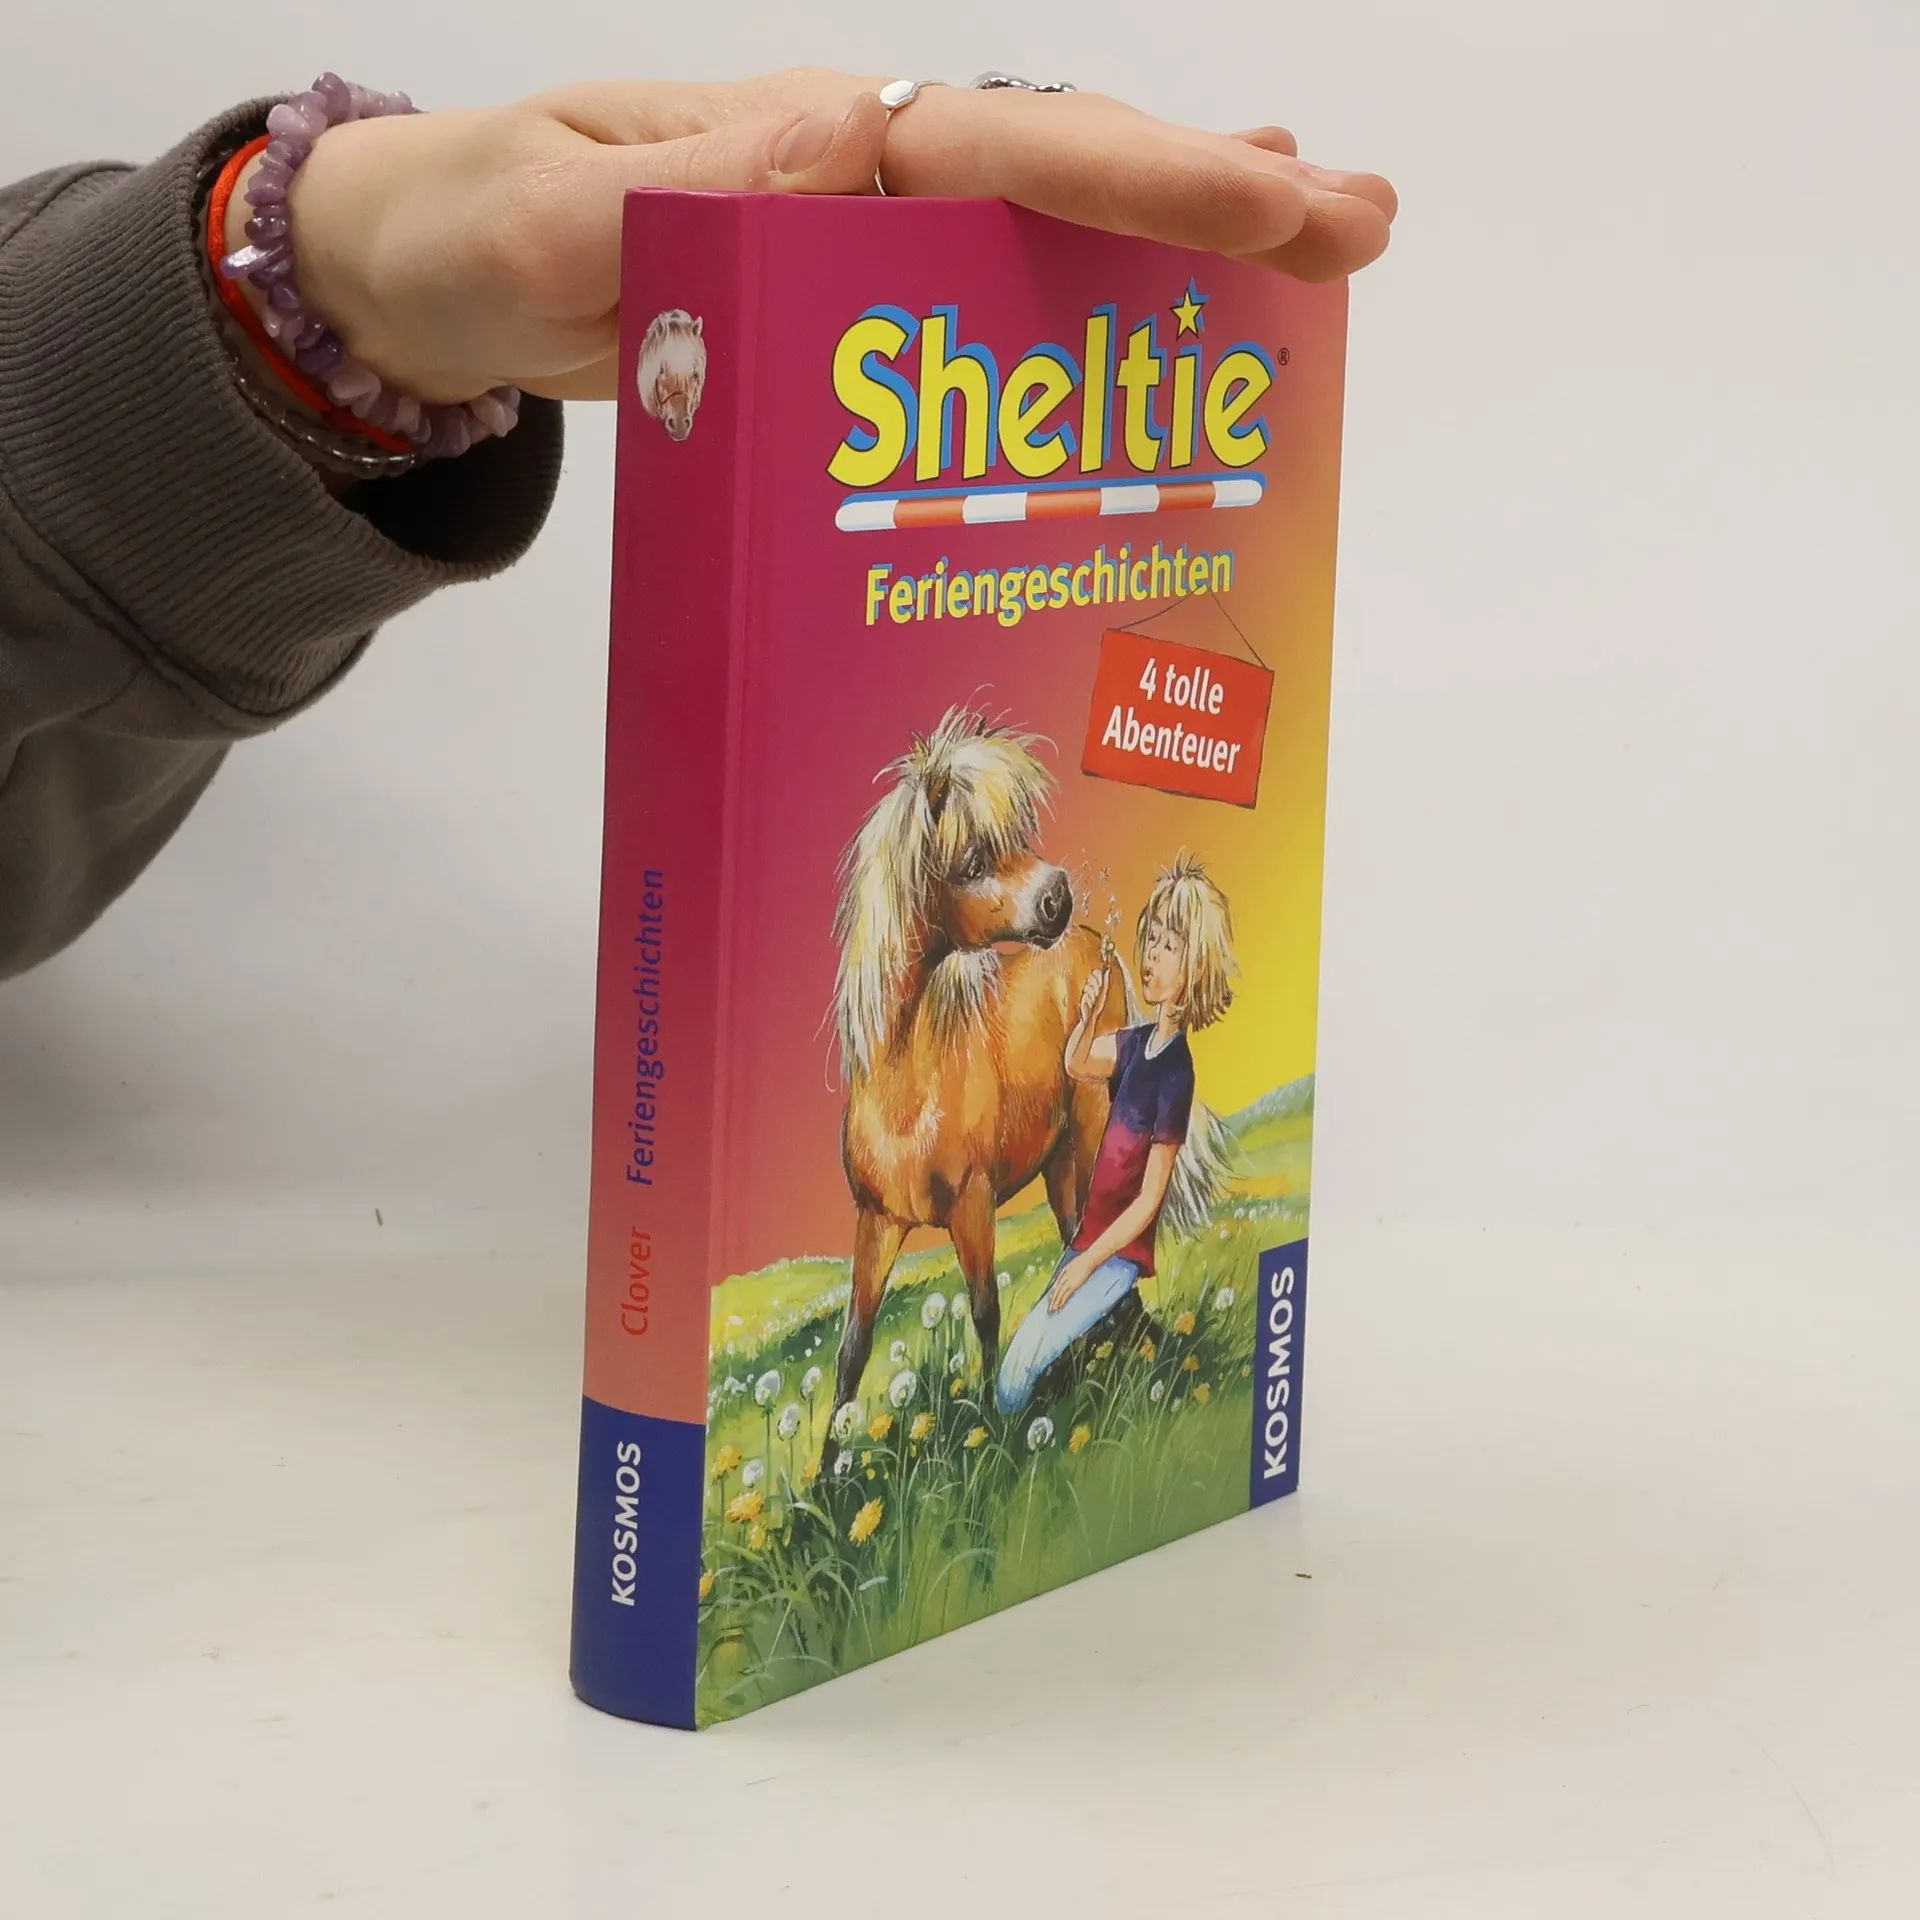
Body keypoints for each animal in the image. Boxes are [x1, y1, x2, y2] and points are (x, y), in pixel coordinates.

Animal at [825, 706, 1122, 1429]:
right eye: (972, 861)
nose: (1057, 897)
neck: (907, 1094)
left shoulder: (973, 1205)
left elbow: (985, 1311)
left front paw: (995, 1428)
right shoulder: (876, 1224)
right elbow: (852, 1351)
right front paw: (829, 1458)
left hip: (1090, 1141)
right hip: (1058, 1163)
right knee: (1075, 1246)